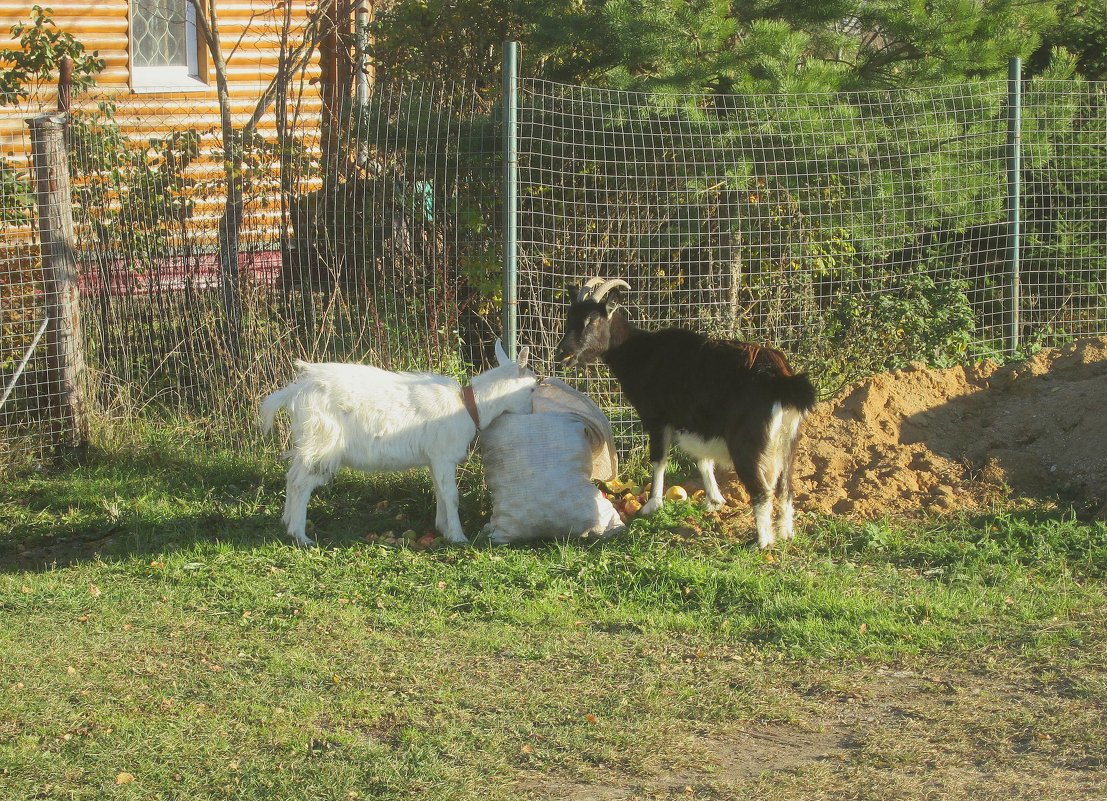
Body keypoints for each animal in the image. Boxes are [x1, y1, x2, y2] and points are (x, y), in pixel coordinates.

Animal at [261, 340, 533, 546]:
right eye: (532, 388)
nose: (533, 411)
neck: (468, 406)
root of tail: (294, 392)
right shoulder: (443, 454)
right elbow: (451, 494)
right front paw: (458, 536)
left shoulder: (433, 458)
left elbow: (439, 491)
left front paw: (442, 527)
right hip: (322, 440)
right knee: (300, 483)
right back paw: (300, 535)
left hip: (309, 439)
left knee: (292, 477)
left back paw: (286, 522)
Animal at [557, 278, 819, 546]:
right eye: (570, 317)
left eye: (592, 320)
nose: (563, 353)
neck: (640, 352)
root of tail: (783, 381)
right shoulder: (695, 422)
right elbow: (703, 459)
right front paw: (714, 501)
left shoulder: (658, 418)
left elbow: (659, 459)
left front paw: (652, 505)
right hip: (788, 441)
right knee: (786, 486)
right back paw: (786, 532)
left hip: (748, 443)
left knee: (762, 490)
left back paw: (762, 542)